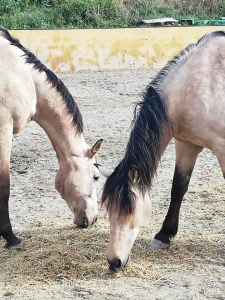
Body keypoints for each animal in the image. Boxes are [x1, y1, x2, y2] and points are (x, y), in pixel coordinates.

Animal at [0, 27, 103, 250]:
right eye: (96, 177)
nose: (93, 219)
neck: (22, 74)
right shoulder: (4, 129)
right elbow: (4, 186)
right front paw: (10, 237)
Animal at [101, 30, 225, 272]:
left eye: (130, 211)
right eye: (109, 210)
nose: (114, 262)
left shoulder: (222, 147)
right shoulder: (186, 145)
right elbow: (178, 188)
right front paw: (163, 236)